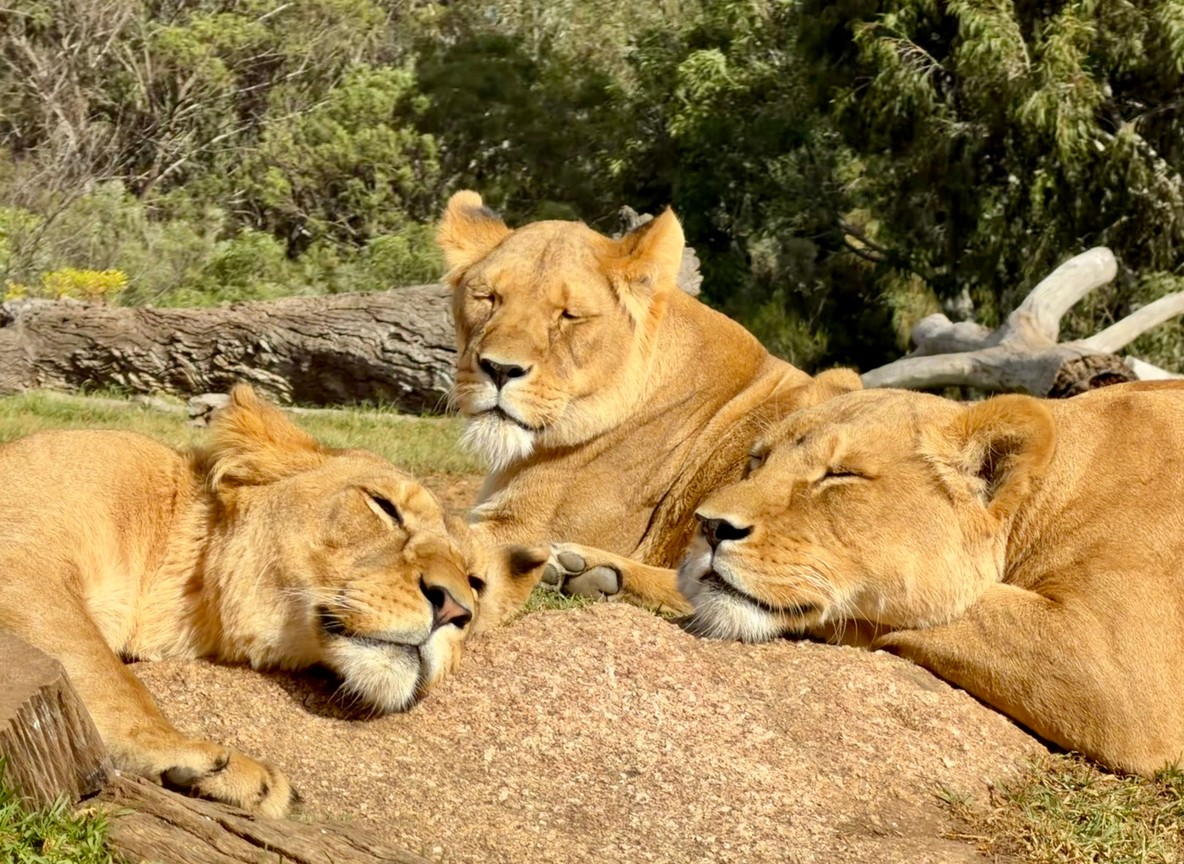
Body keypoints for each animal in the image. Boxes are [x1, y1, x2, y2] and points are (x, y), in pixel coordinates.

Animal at [0, 386, 543, 816]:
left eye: (474, 581)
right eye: (384, 507)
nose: (455, 610)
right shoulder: (21, 555)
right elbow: (101, 668)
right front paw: (191, 755)